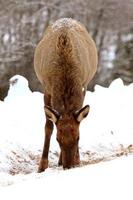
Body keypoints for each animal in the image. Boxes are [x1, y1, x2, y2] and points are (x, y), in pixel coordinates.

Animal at [33, 18, 97, 173]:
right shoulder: (47, 89)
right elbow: (48, 127)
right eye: (58, 139)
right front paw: (42, 165)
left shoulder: (83, 87)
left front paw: (77, 159)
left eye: (78, 137)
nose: (68, 166)